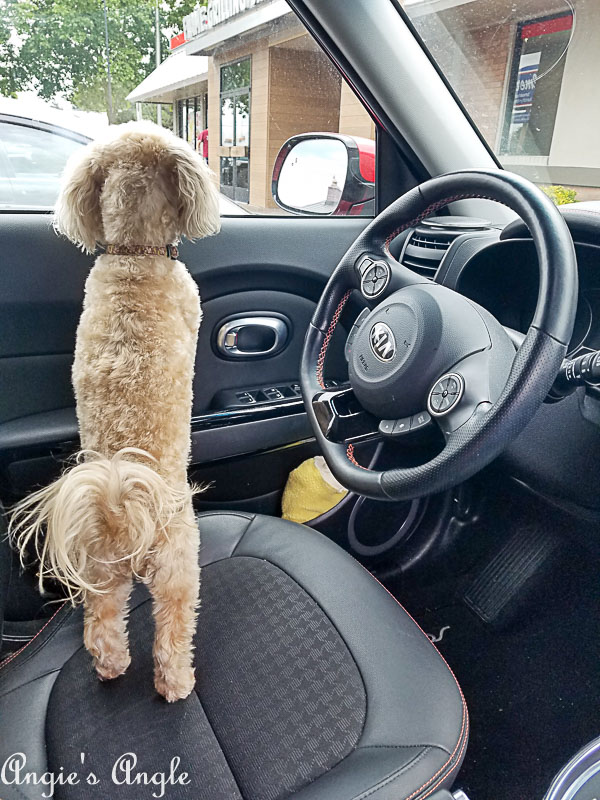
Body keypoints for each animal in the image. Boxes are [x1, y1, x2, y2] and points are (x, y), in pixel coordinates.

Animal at [9, 119, 220, 700]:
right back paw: (177, 683)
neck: (134, 253)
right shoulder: (191, 305)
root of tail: (119, 514)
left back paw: (110, 667)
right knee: (172, 630)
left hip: (99, 576)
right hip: (178, 563)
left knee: (102, 629)